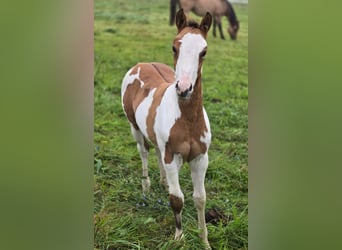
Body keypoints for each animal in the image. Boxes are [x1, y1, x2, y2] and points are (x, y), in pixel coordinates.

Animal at [120, 9, 211, 246]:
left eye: (204, 51)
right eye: (174, 47)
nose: (184, 88)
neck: (188, 120)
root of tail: (141, 63)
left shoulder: (201, 158)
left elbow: (200, 198)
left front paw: (204, 241)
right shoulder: (172, 156)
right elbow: (177, 199)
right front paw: (179, 237)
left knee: (156, 151)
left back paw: (162, 182)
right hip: (134, 126)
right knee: (144, 151)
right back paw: (146, 186)